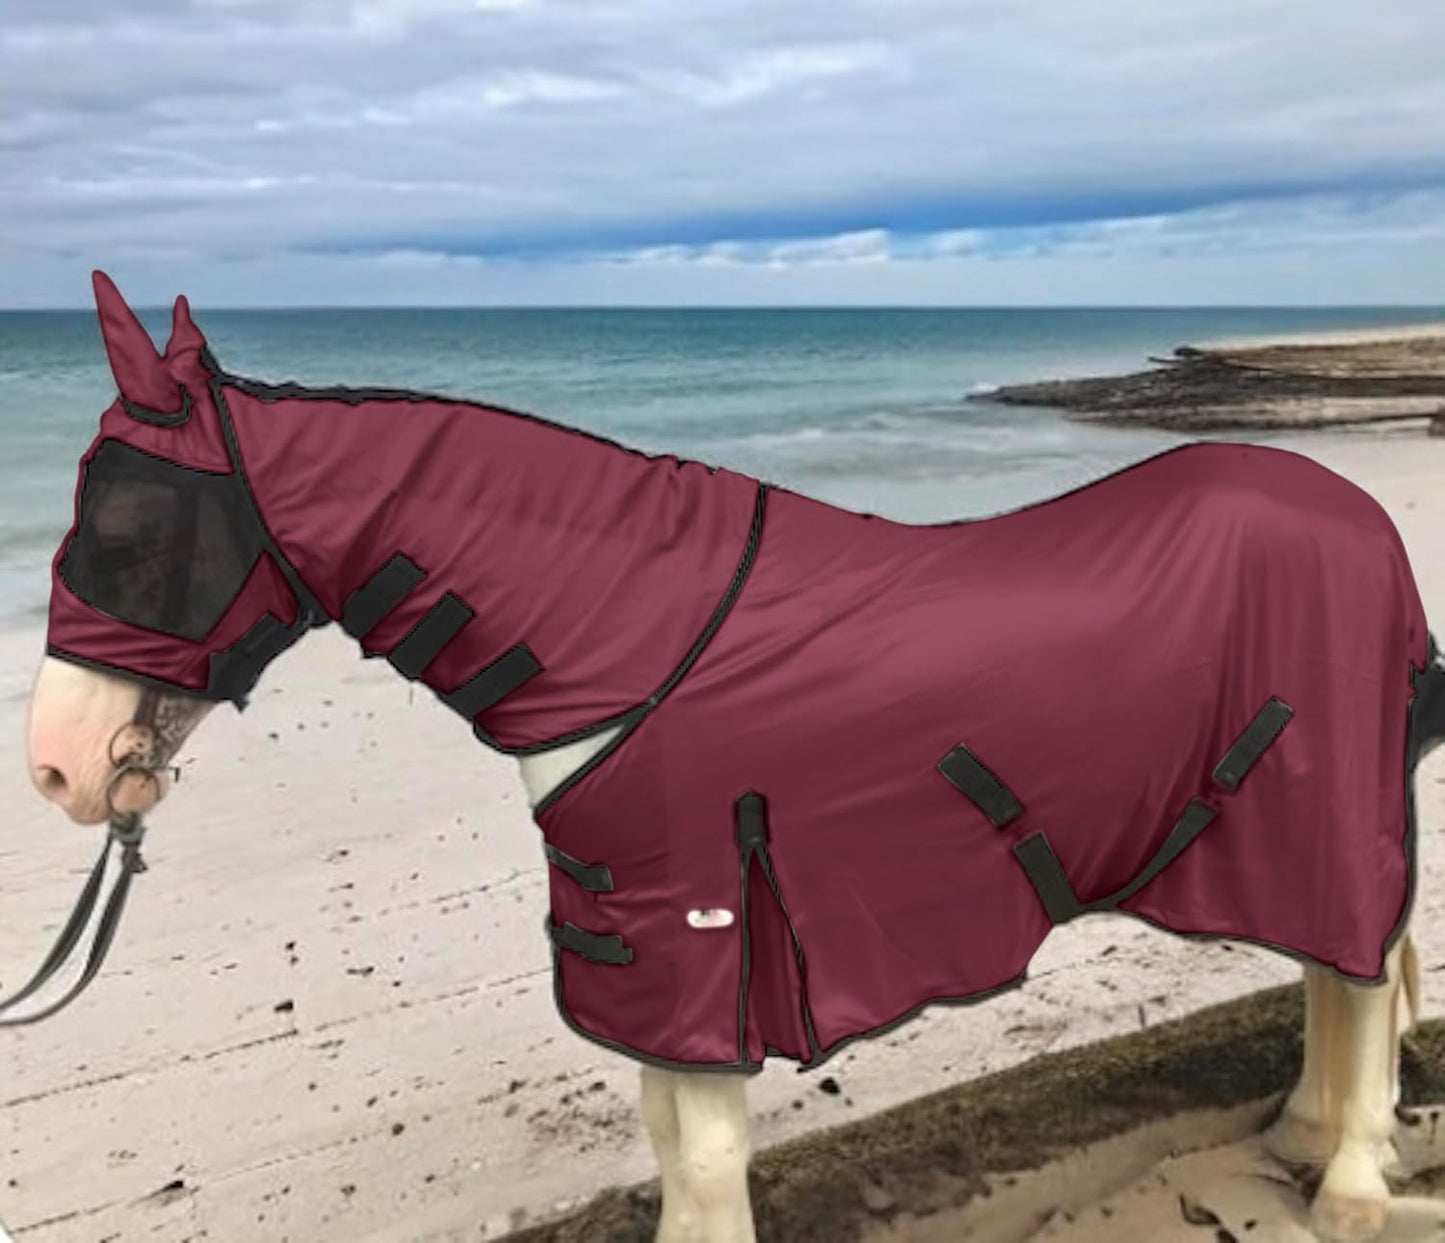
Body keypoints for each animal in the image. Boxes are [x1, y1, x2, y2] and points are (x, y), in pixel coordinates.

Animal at [14, 270, 1445, 1243]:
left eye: (131, 529)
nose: (58, 770)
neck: (631, 643)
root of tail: (1350, 511)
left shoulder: (703, 933)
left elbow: (700, 1162)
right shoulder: (655, 961)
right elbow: (672, 1150)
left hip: (1322, 812)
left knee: (1356, 965)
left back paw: (1348, 1181)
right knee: (1341, 971)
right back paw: (1307, 1132)